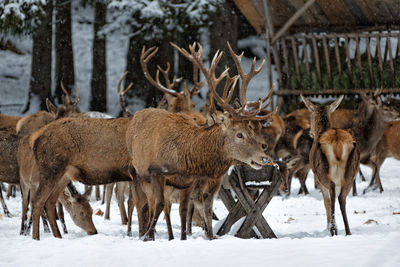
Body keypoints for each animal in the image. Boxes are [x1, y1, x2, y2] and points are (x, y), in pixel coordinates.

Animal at [302, 96, 360, 237]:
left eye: (311, 114)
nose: (310, 132)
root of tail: (338, 142)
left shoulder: (318, 178)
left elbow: (326, 201)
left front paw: (328, 226)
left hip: (324, 172)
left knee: (333, 194)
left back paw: (334, 229)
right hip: (352, 172)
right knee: (342, 198)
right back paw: (348, 231)